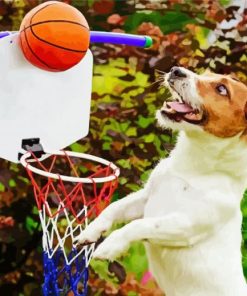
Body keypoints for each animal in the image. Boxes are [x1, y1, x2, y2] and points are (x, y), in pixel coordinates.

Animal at [76, 67, 247, 296]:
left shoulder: (184, 225)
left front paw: (111, 244)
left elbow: (141, 225)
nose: (176, 70)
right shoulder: (145, 198)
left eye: (221, 89)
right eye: (206, 74)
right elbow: (113, 208)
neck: (192, 168)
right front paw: (91, 231)